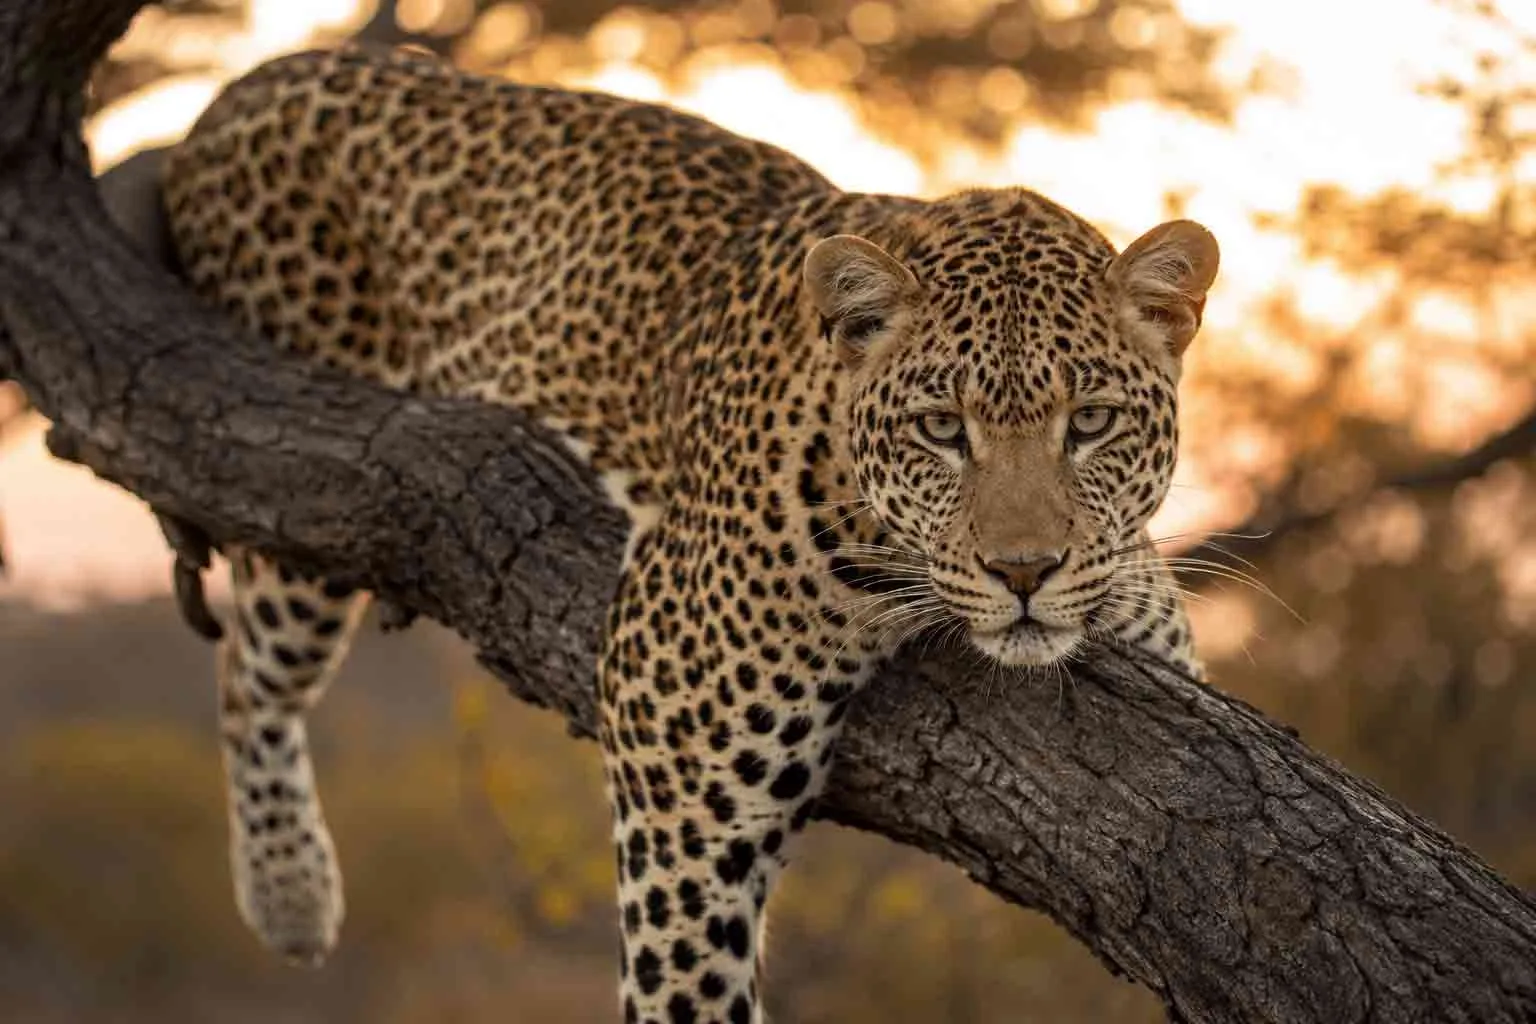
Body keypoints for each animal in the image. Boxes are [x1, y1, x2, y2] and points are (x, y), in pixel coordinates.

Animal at [161, 45, 1218, 1023]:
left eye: (1091, 423)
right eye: (940, 430)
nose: (1024, 571)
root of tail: (259, 79)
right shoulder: (673, 738)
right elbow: (686, 980)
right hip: (309, 494)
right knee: (247, 673)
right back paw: (289, 894)